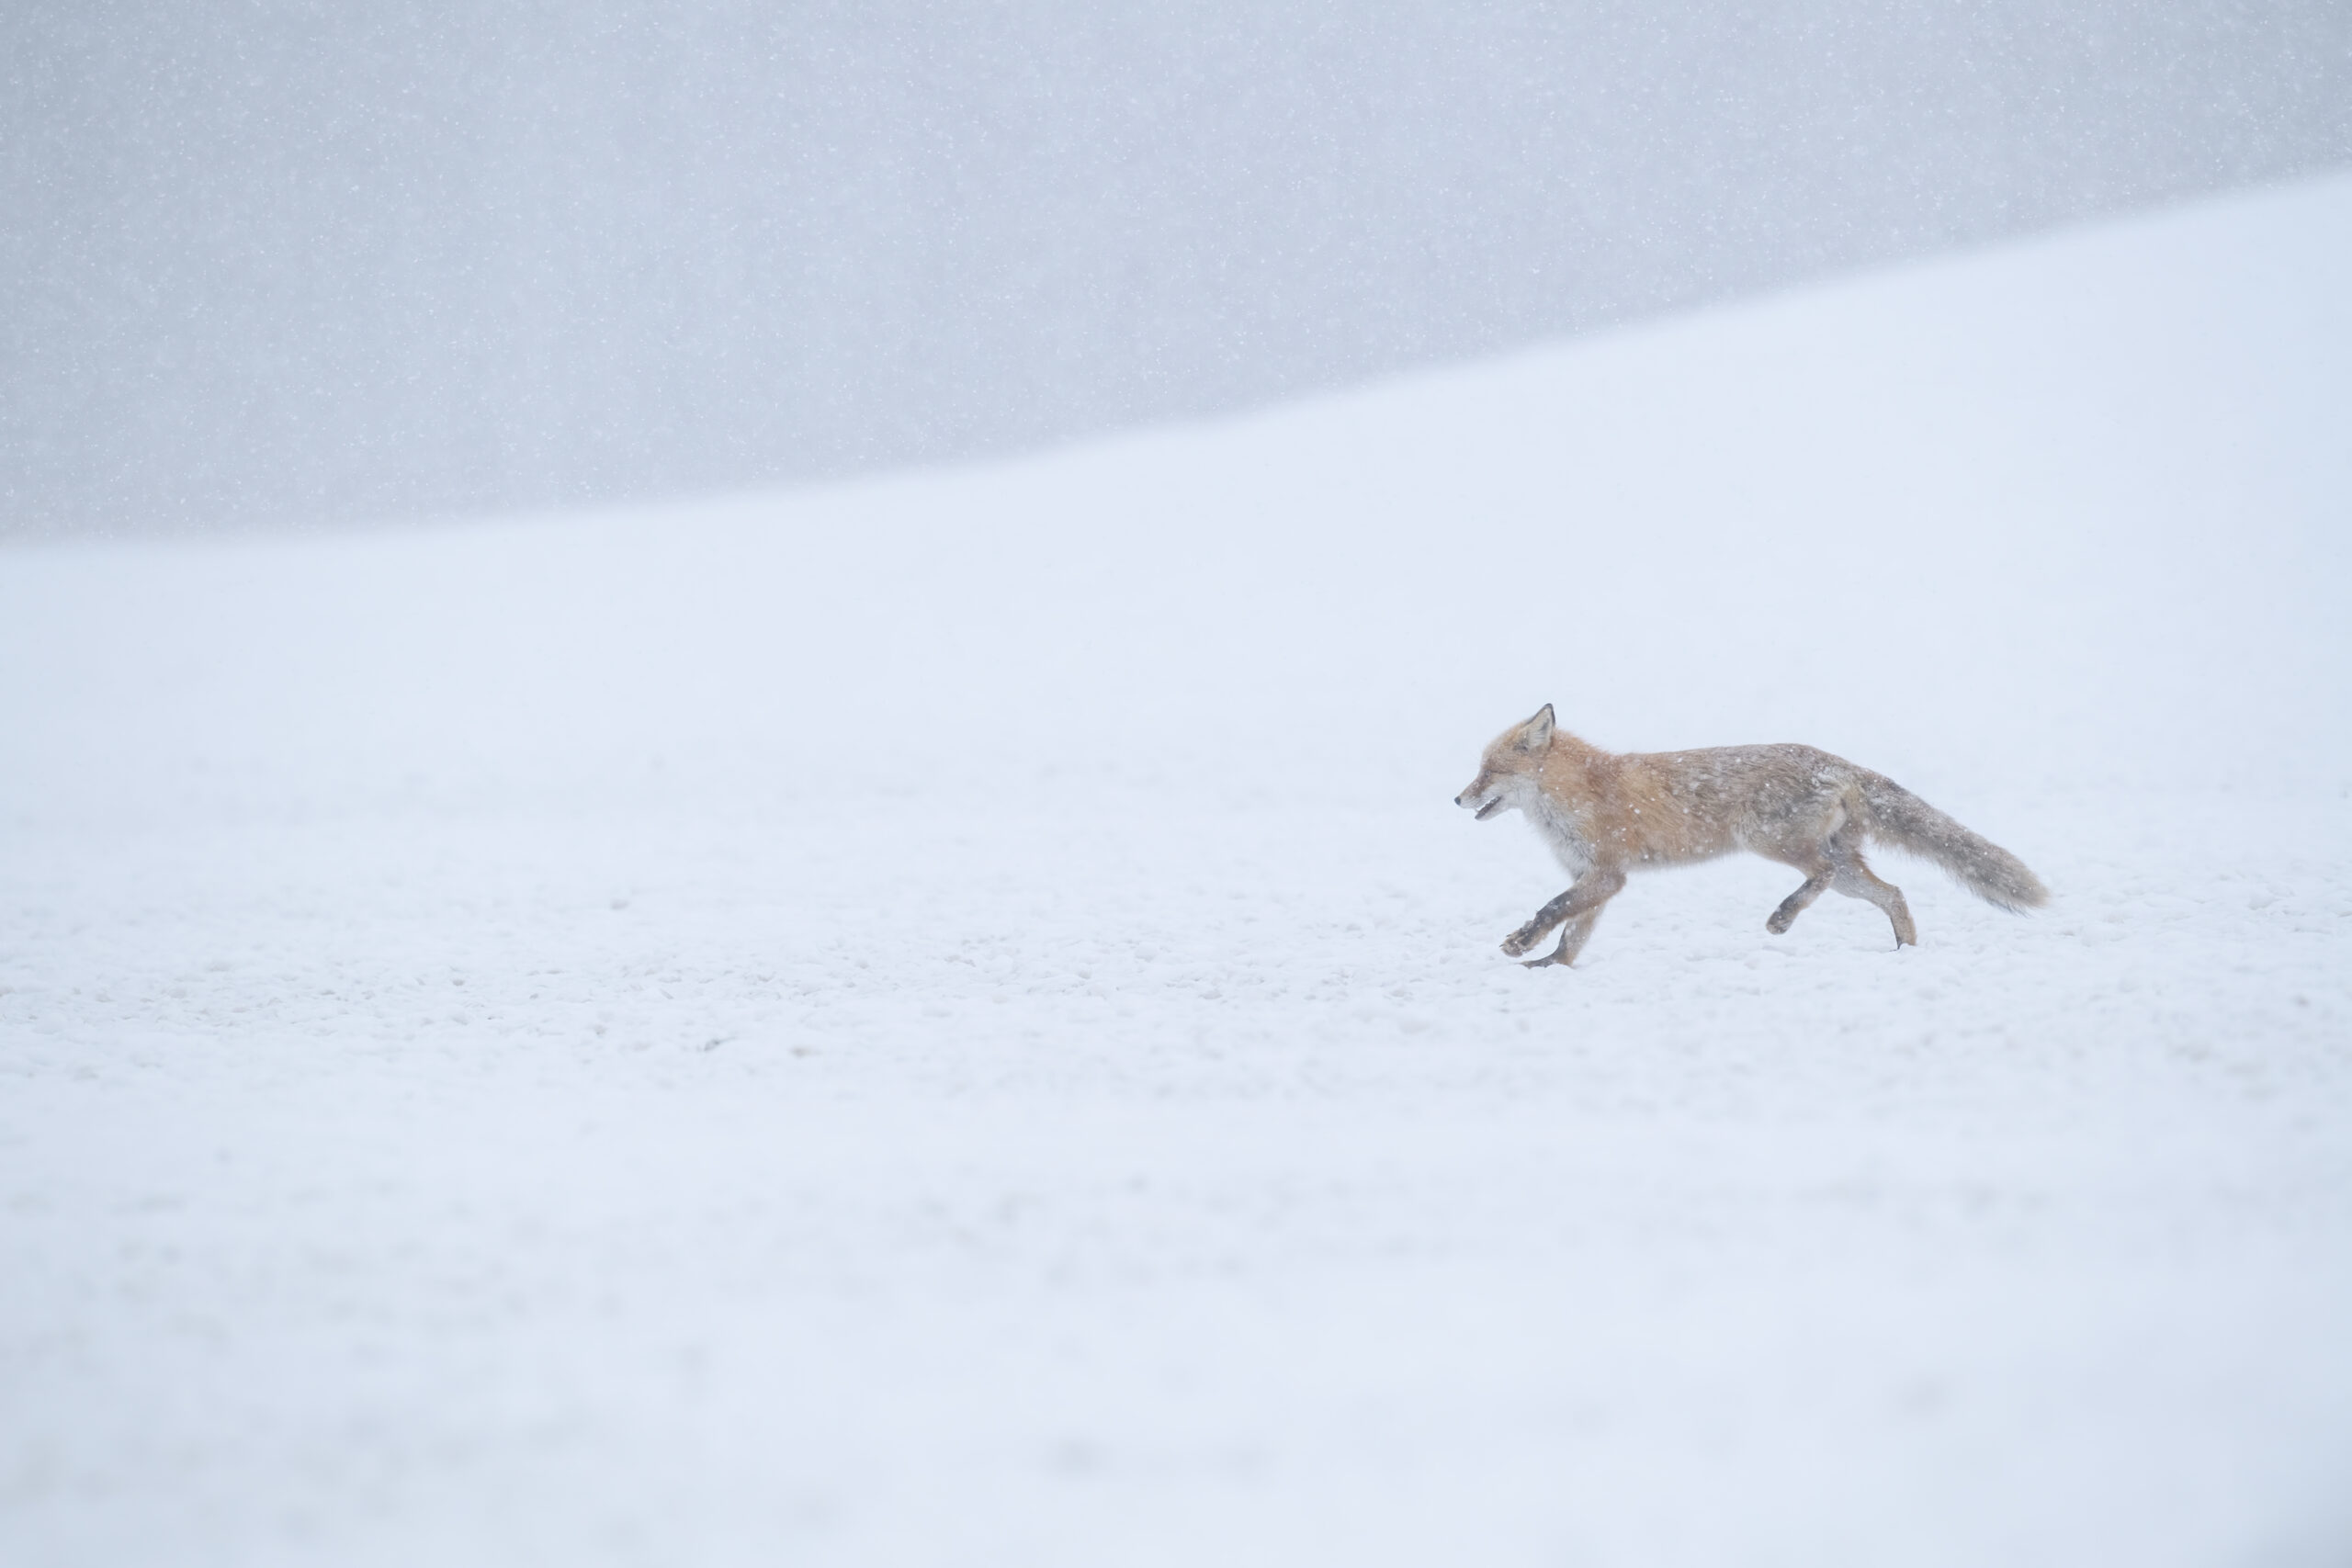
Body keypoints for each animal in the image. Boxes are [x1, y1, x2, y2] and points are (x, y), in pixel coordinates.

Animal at [1454, 705, 2046, 966]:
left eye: (1488, 772)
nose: (1457, 800)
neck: (1576, 792)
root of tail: (1836, 761)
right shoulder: (1597, 878)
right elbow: (1572, 933)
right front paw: (1549, 967)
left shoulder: (1605, 873)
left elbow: (1552, 909)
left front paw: (1521, 944)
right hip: (1845, 870)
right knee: (1892, 893)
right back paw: (1904, 955)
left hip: (1769, 840)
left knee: (1820, 876)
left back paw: (1783, 916)